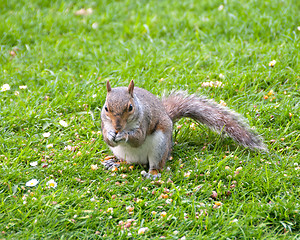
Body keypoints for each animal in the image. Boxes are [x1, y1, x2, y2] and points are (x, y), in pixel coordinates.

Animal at [101, 80, 268, 178]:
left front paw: (124, 135)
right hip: (122, 153)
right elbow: (107, 139)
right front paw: (110, 135)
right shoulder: (104, 123)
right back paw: (116, 163)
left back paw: (153, 173)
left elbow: (138, 138)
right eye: (106, 108)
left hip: (160, 147)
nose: (117, 127)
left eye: (130, 107)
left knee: (157, 164)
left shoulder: (145, 121)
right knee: (128, 161)